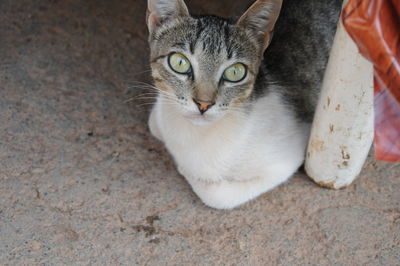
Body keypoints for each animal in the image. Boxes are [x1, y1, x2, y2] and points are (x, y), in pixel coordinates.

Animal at [145, 0, 340, 208]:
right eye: (179, 63)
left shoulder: (288, 157)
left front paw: (185, 169)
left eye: (235, 72)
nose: (203, 103)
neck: (193, 134)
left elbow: (216, 195)